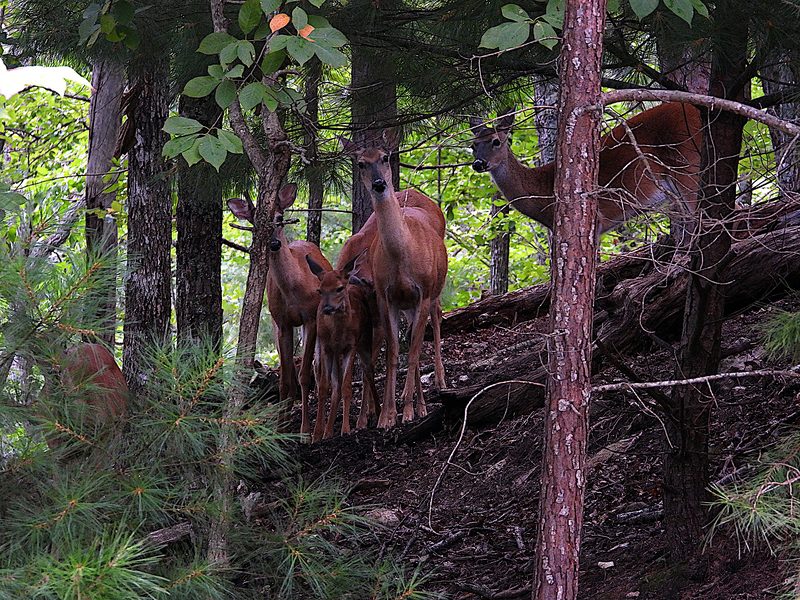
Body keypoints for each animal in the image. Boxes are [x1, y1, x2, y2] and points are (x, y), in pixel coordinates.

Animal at [228, 184, 331, 436]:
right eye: (255, 224)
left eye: (279, 217)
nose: (274, 243)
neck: (294, 288)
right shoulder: (282, 323)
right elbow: (285, 379)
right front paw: (280, 429)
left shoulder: (310, 318)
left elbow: (305, 375)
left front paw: (305, 432)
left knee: (319, 370)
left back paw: (320, 429)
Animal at [305, 253, 380, 441]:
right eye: (320, 290)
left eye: (339, 289)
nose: (326, 308)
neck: (337, 334)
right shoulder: (326, 347)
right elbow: (325, 387)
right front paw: (318, 434)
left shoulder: (350, 347)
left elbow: (346, 386)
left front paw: (345, 429)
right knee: (336, 386)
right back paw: (328, 431)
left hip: (365, 340)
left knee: (368, 371)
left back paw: (377, 411)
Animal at [341, 132, 448, 429]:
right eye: (361, 163)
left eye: (385, 157)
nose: (379, 184)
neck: (403, 254)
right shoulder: (386, 296)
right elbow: (393, 351)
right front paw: (387, 415)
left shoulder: (423, 292)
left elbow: (412, 351)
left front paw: (409, 410)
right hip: (405, 304)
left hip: (433, 290)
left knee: (436, 319)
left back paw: (439, 382)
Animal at [469, 103, 702, 242]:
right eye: (473, 145)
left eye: (496, 141)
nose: (479, 163)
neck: (542, 190)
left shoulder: (595, 221)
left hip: (688, 166)